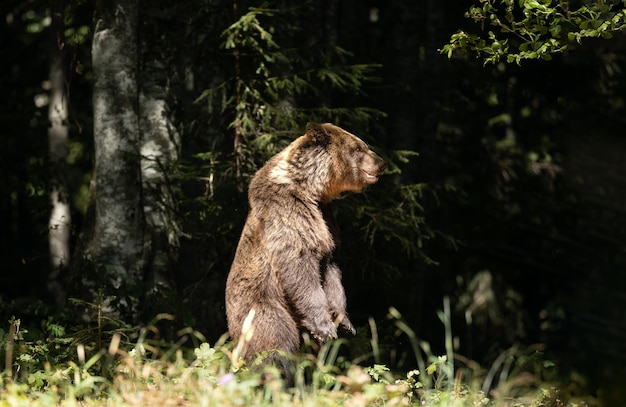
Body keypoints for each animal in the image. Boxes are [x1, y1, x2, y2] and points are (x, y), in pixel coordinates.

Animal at [224, 122, 386, 364]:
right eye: (359, 147)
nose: (382, 164)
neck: (311, 189)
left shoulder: (325, 218)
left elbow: (330, 270)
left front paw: (344, 322)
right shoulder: (289, 212)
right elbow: (299, 267)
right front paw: (325, 326)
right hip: (262, 306)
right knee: (276, 343)